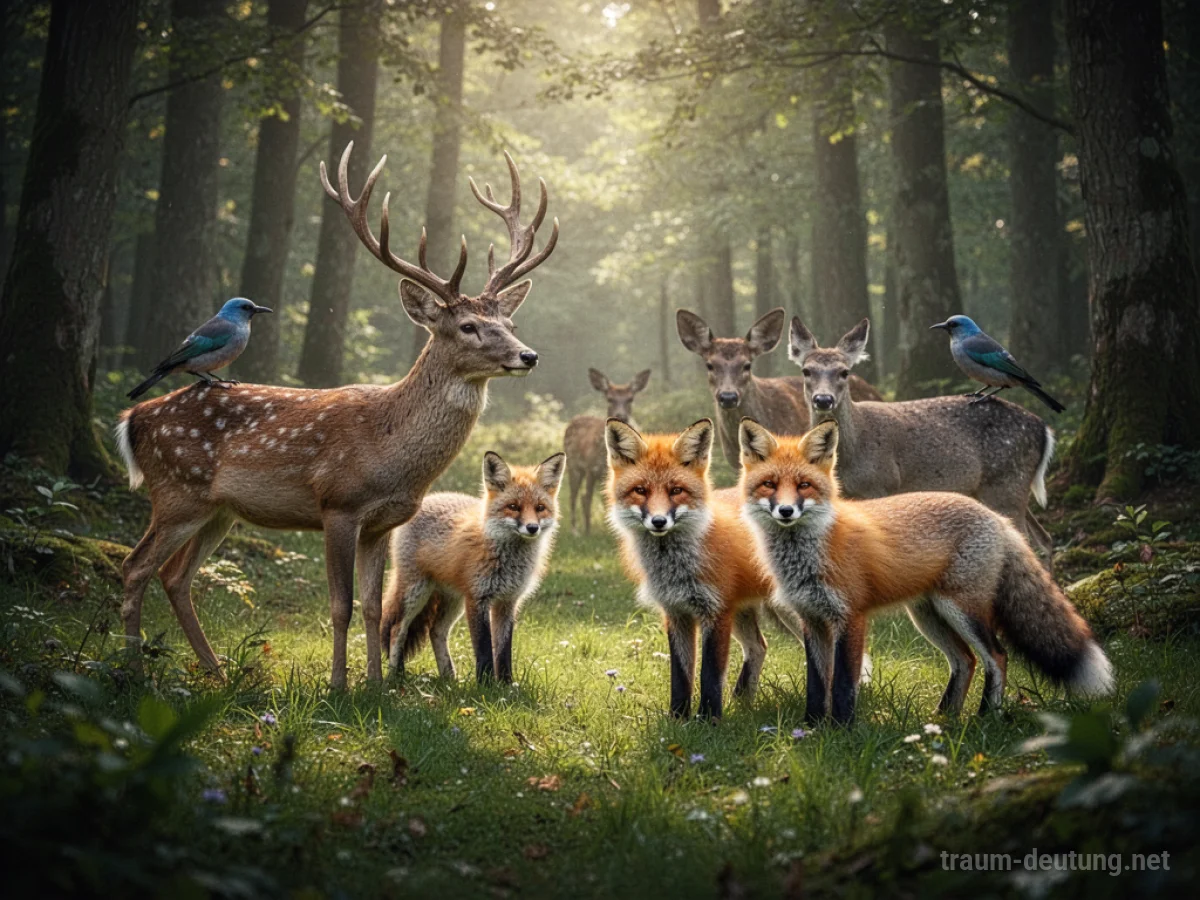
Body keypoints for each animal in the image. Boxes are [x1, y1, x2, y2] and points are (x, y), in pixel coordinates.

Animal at [380, 450, 566, 684]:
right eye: (513, 507)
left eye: (540, 508)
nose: (532, 528)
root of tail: (431, 497)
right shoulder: (478, 598)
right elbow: (484, 648)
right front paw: (485, 684)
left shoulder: (507, 602)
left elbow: (503, 650)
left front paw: (506, 684)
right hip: (417, 591)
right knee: (397, 629)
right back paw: (396, 675)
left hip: (453, 600)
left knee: (436, 631)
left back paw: (449, 679)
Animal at [562, 367, 650, 535]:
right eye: (610, 399)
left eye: (630, 399)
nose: (621, 415)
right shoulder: (591, 467)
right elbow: (588, 498)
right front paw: (588, 532)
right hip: (573, 465)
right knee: (575, 496)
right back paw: (575, 530)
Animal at [605, 417, 801, 720]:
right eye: (640, 491)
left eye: (676, 491)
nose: (659, 522)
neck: (676, 567)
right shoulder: (676, 612)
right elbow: (680, 675)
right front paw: (678, 718)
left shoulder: (716, 612)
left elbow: (710, 673)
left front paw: (709, 719)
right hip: (743, 612)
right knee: (758, 647)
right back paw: (742, 702)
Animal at [737, 417, 1114, 725]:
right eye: (769, 484)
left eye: (804, 486)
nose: (786, 511)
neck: (810, 553)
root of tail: (996, 517)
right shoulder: (812, 620)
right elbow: (817, 684)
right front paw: (813, 728)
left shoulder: (851, 616)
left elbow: (844, 683)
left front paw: (841, 730)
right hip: (928, 615)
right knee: (965, 660)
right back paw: (945, 718)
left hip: (962, 609)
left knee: (997, 656)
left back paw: (985, 717)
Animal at [787, 317, 1056, 568]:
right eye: (806, 371)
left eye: (844, 372)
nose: (823, 399)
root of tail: (1044, 430)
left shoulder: (882, 484)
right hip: (1001, 487)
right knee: (1044, 538)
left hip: (1006, 483)